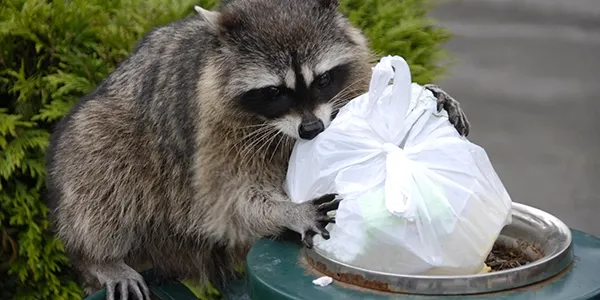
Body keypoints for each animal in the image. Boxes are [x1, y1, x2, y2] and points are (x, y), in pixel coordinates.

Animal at [45, 0, 468, 300]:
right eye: (275, 92)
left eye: (323, 80)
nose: (312, 130)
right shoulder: (213, 130)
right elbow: (229, 201)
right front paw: (290, 210)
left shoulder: (350, 77)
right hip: (104, 136)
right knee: (101, 168)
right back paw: (100, 257)